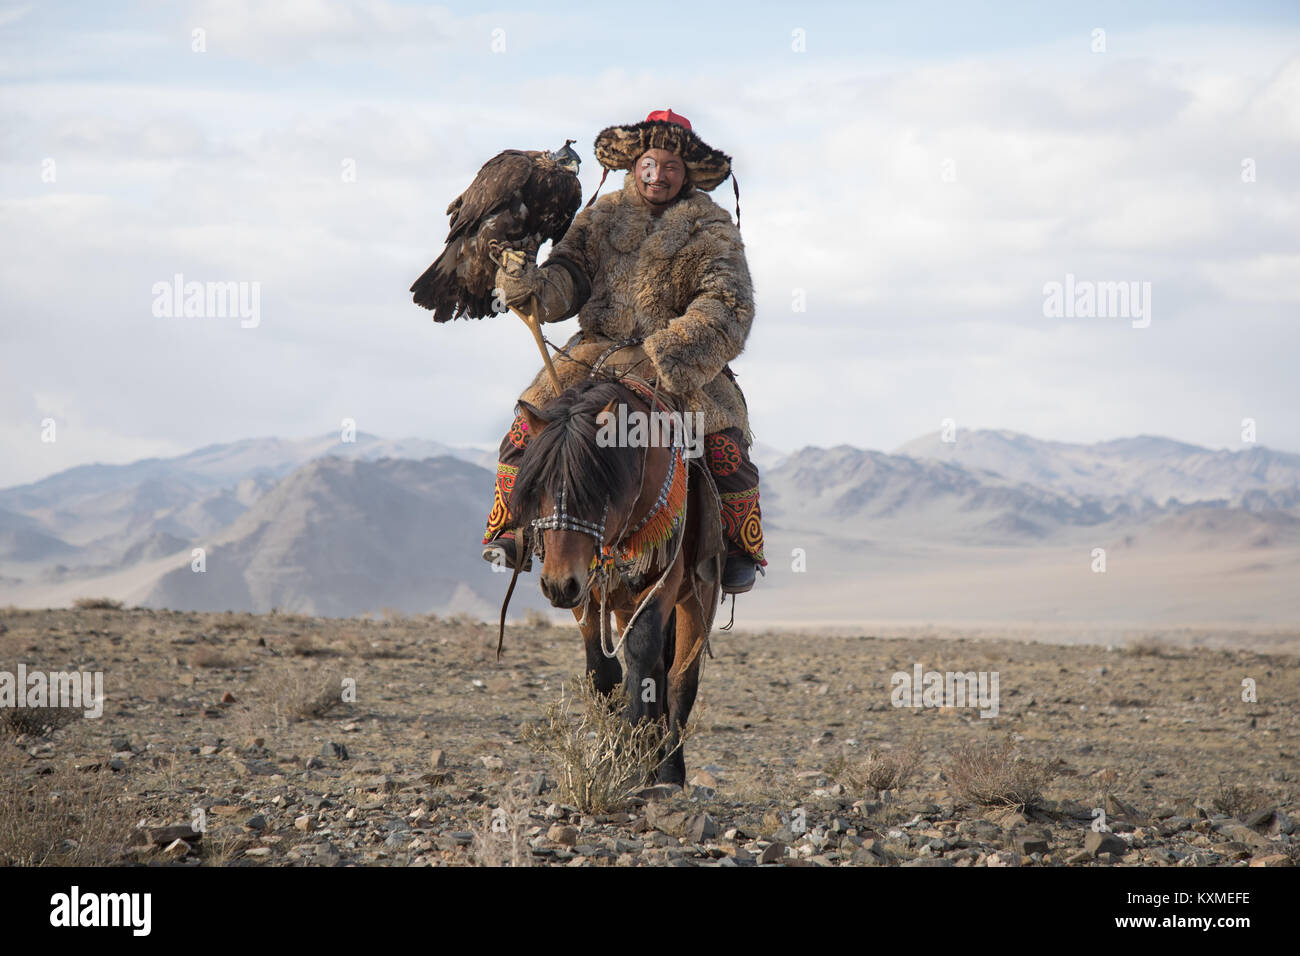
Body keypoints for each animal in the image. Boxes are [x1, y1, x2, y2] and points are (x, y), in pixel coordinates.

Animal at [506, 374, 733, 785]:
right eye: (538, 487)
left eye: (595, 489)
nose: (557, 584)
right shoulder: (586, 591)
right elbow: (604, 671)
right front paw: (616, 755)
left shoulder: (661, 580)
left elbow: (643, 658)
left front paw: (633, 762)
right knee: (658, 668)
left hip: (699, 592)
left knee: (680, 678)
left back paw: (669, 769)